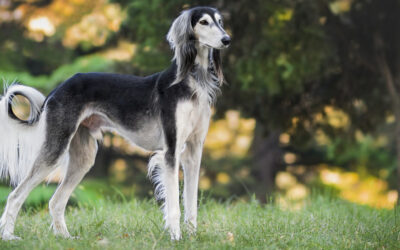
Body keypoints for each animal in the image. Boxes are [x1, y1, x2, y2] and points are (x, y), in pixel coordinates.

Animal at [0, 6, 230, 240]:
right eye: (203, 22)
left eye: (220, 22)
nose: (226, 39)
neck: (192, 80)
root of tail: (58, 88)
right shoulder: (171, 151)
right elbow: (174, 202)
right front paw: (175, 237)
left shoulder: (193, 150)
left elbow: (191, 202)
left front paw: (192, 237)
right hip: (55, 149)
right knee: (15, 195)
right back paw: (9, 236)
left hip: (84, 157)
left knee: (55, 201)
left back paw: (65, 238)